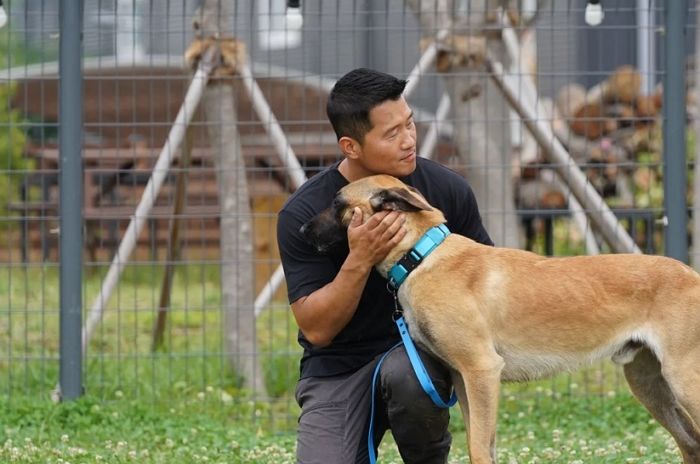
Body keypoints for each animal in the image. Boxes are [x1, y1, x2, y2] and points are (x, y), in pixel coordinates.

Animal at [304, 174, 700, 464]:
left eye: (338, 204)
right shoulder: (464, 380)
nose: (302, 231)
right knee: (690, 443)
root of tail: (692, 275)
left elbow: (479, 448)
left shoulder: (482, 371)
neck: (421, 255)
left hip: (682, 381)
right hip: (648, 384)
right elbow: (481, 445)